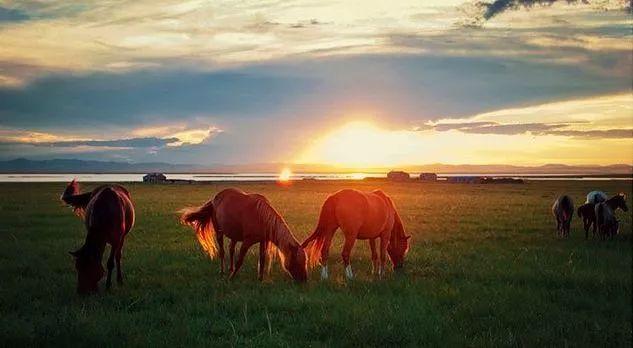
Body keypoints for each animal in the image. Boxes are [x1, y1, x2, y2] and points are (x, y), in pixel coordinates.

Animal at [179, 188, 308, 282]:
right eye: (297, 261)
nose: (304, 280)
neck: (262, 217)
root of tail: (214, 199)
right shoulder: (247, 242)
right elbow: (240, 260)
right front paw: (231, 278)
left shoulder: (263, 241)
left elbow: (262, 259)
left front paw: (260, 279)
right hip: (219, 232)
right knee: (222, 251)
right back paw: (222, 271)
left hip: (234, 235)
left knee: (231, 249)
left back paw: (230, 268)